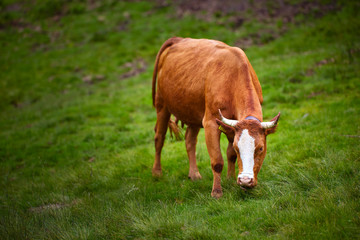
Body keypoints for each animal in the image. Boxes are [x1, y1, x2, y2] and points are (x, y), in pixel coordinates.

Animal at [150, 37, 280, 198]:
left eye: (261, 148)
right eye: (238, 147)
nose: (245, 180)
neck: (232, 79)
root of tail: (178, 39)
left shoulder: (232, 127)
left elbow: (230, 155)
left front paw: (231, 180)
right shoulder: (210, 123)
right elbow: (217, 161)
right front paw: (217, 192)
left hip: (192, 113)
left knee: (189, 140)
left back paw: (194, 174)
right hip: (162, 105)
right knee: (159, 138)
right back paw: (157, 172)